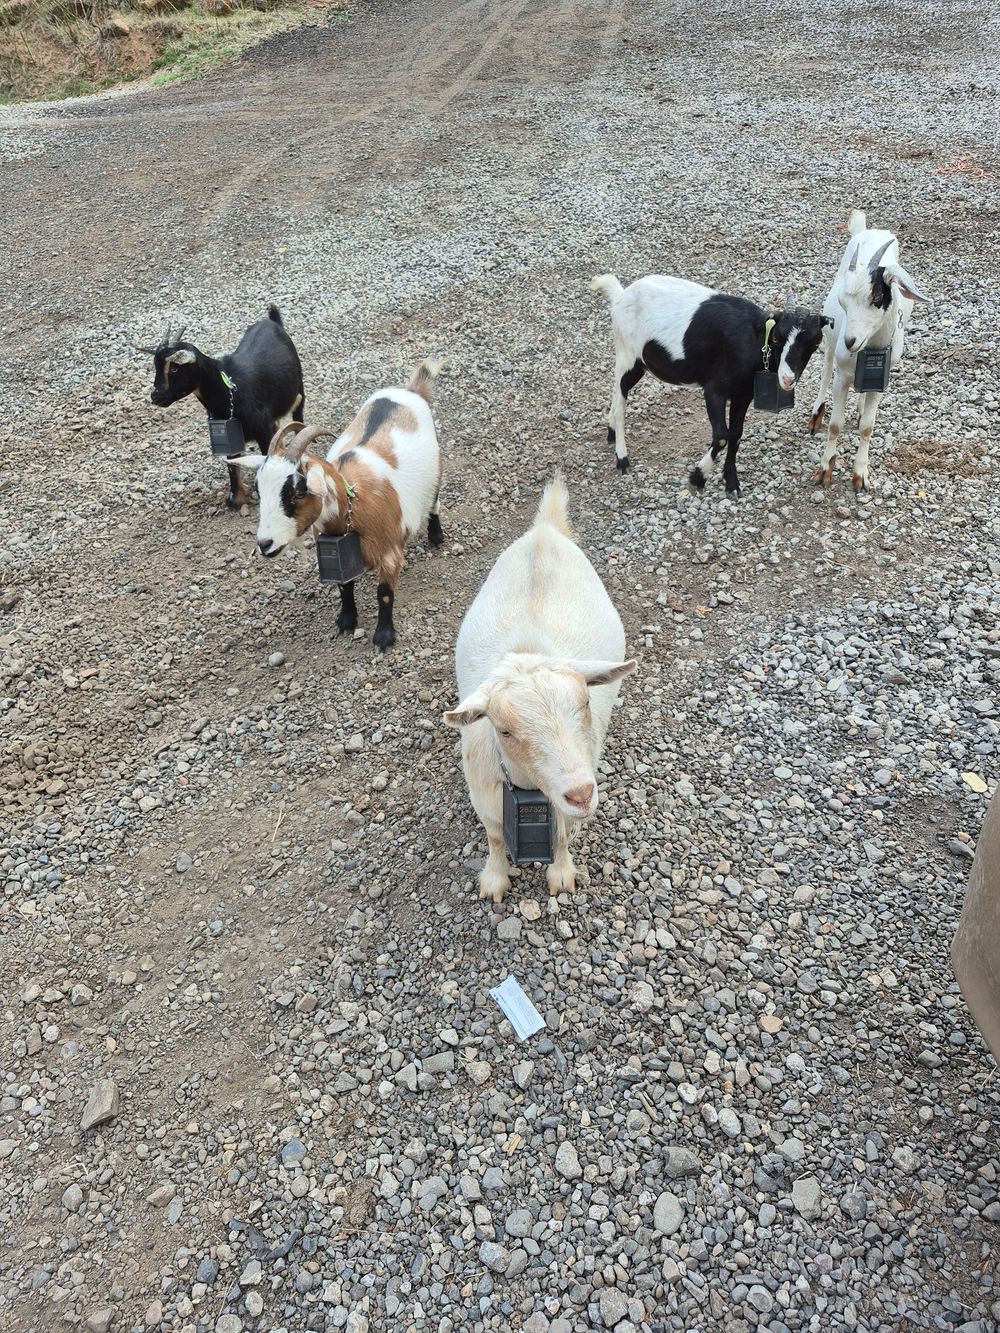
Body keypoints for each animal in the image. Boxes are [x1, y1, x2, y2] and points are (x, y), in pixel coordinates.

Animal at [142, 305, 305, 510]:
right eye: (156, 366)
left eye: (174, 368)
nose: (155, 396)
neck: (231, 391)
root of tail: (272, 321)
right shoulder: (230, 436)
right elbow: (233, 468)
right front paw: (238, 498)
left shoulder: (263, 430)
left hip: (299, 388)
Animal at [228, 361, 443, 651]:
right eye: (260, 490)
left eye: (298, 491)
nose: (264, 544)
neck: (355, 509)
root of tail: (410, 390)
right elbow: (344, 586)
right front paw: (346, 622)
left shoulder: (391, 553)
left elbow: (385, 594)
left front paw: (384, 637)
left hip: (437, 472)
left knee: (434, 503)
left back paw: (436, 535)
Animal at [443, 474, 636, 903]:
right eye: (504, 730)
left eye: (585, 702)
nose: (580, 793)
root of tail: (545, 531)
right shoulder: (485, 798)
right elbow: (495, 838)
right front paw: (494, 880)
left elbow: (562, 835)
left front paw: (561, 876)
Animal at [592, 274, 830, 494]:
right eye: (776, 338)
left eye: (815, 342)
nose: (788, 379)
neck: (754, 341)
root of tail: (621, 295)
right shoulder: (715, 389)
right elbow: (722, 436)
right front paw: (697, 477)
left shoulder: (743, 395)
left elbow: (736, 434)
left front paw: (732, 483)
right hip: (628, 355)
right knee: (621, 399)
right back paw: (622, 457)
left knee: (617, 392)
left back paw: (611, 433)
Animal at [810, 209, 931, 490]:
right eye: (843, 301)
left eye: (876, 296)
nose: (850, 341)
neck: (870, 350)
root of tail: (869, 231)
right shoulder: (842, 377)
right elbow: (835, 424)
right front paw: (825, 469)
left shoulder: (882, 379)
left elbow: (867, 426)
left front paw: (860, 473)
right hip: (830, 337)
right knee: (826, 366)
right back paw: (816, 414)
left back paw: (860, 407)